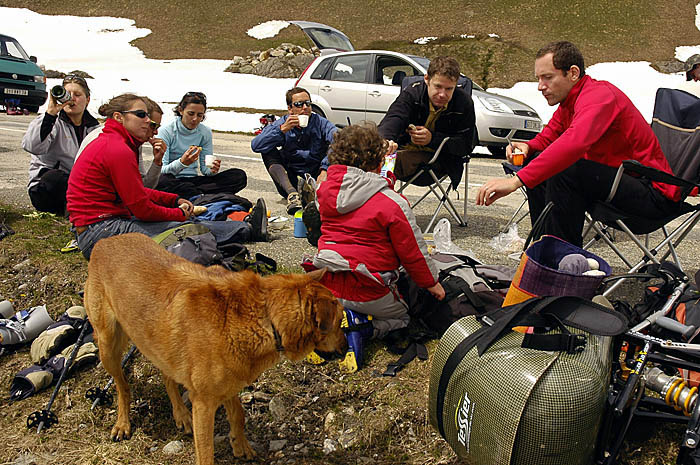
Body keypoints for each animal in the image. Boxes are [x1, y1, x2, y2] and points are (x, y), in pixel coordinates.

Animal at [85, 234, 348, 462]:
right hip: (108, 345)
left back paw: (180, 414)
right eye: (339, 323)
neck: (263, 315)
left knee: (167, 376)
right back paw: (123, 422)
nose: (347, 349)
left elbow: (238, 414)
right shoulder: (203, 404)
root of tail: (104, 241)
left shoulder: (230, 381)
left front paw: (240, 445)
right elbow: (206, 452)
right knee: (122, 386)